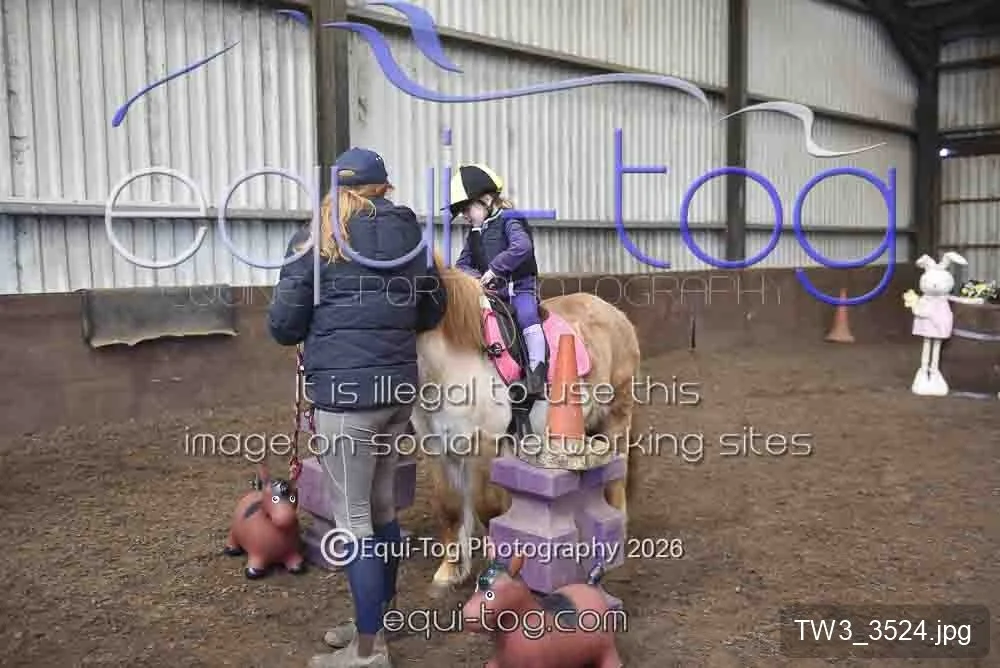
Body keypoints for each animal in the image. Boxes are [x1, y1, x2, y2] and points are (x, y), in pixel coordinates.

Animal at [412, 252, 641, 592]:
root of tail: (616, 314)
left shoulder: (485, 445)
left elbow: (488, 508)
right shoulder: (437, 448)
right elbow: (450, 507)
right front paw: (450, 573)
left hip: (616, 418)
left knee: (617, 475)